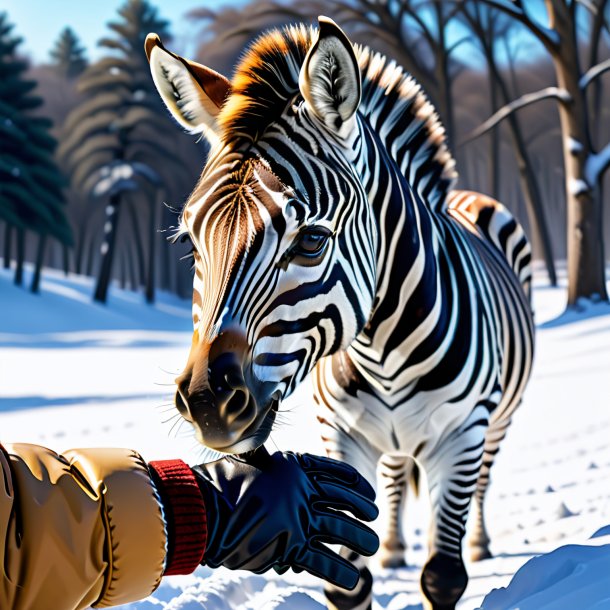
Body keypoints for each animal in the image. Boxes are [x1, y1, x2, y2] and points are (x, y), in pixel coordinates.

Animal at [146, 17, 532, 608]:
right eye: (192, 245)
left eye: (311, 241)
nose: (209, 401)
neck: (384, 352)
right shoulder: (344, 436)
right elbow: (350, 583)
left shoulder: (461, 435)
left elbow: (443, 576)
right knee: (394, 477)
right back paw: (392, 546)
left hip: (496, 420)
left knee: (485, 478)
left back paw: (481, 541)